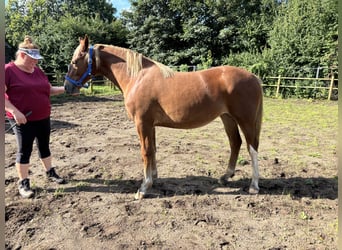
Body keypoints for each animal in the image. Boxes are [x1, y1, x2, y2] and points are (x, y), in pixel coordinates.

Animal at [63, 35, 262, 199]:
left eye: (75, 61)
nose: (67, 87)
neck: (137, 77)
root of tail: (253, 77)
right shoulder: (150, 125)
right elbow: (152, 149)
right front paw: (154, 177)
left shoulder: (142, 123)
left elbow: (145, 151)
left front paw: (144, 188)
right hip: (227, 118)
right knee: (235, 143)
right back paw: (225, 177)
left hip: (245, 120)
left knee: (252, 147)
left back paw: (254, 186)